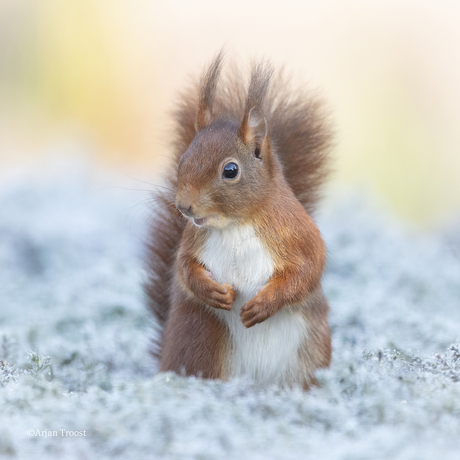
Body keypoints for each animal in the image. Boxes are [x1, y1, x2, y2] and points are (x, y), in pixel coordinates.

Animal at [146, 52, 332, 388]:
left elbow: (308, 270)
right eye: (182, 160)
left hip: (309, 353)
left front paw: (264, 304)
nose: (183, 207)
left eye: (230, 170)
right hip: (201, 334)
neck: (235, 223)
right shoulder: (193, 238)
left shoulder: (298, 232)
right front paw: (212, 291)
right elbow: (182, 267)